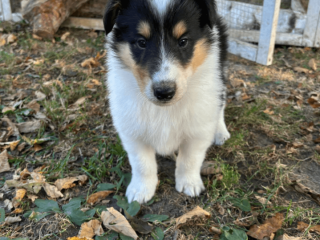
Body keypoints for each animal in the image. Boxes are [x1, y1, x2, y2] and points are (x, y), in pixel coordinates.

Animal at [104, 0, 229, 203]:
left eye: (183, 41)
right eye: (141, 42)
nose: (164, 92)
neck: (164, 108)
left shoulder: (198, 128)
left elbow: (190, 159)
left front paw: (189, 183)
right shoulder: (132, 127)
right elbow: (142, 162)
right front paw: (141, 190)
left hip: (221, 71)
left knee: (222, 101)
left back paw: (220, 131)